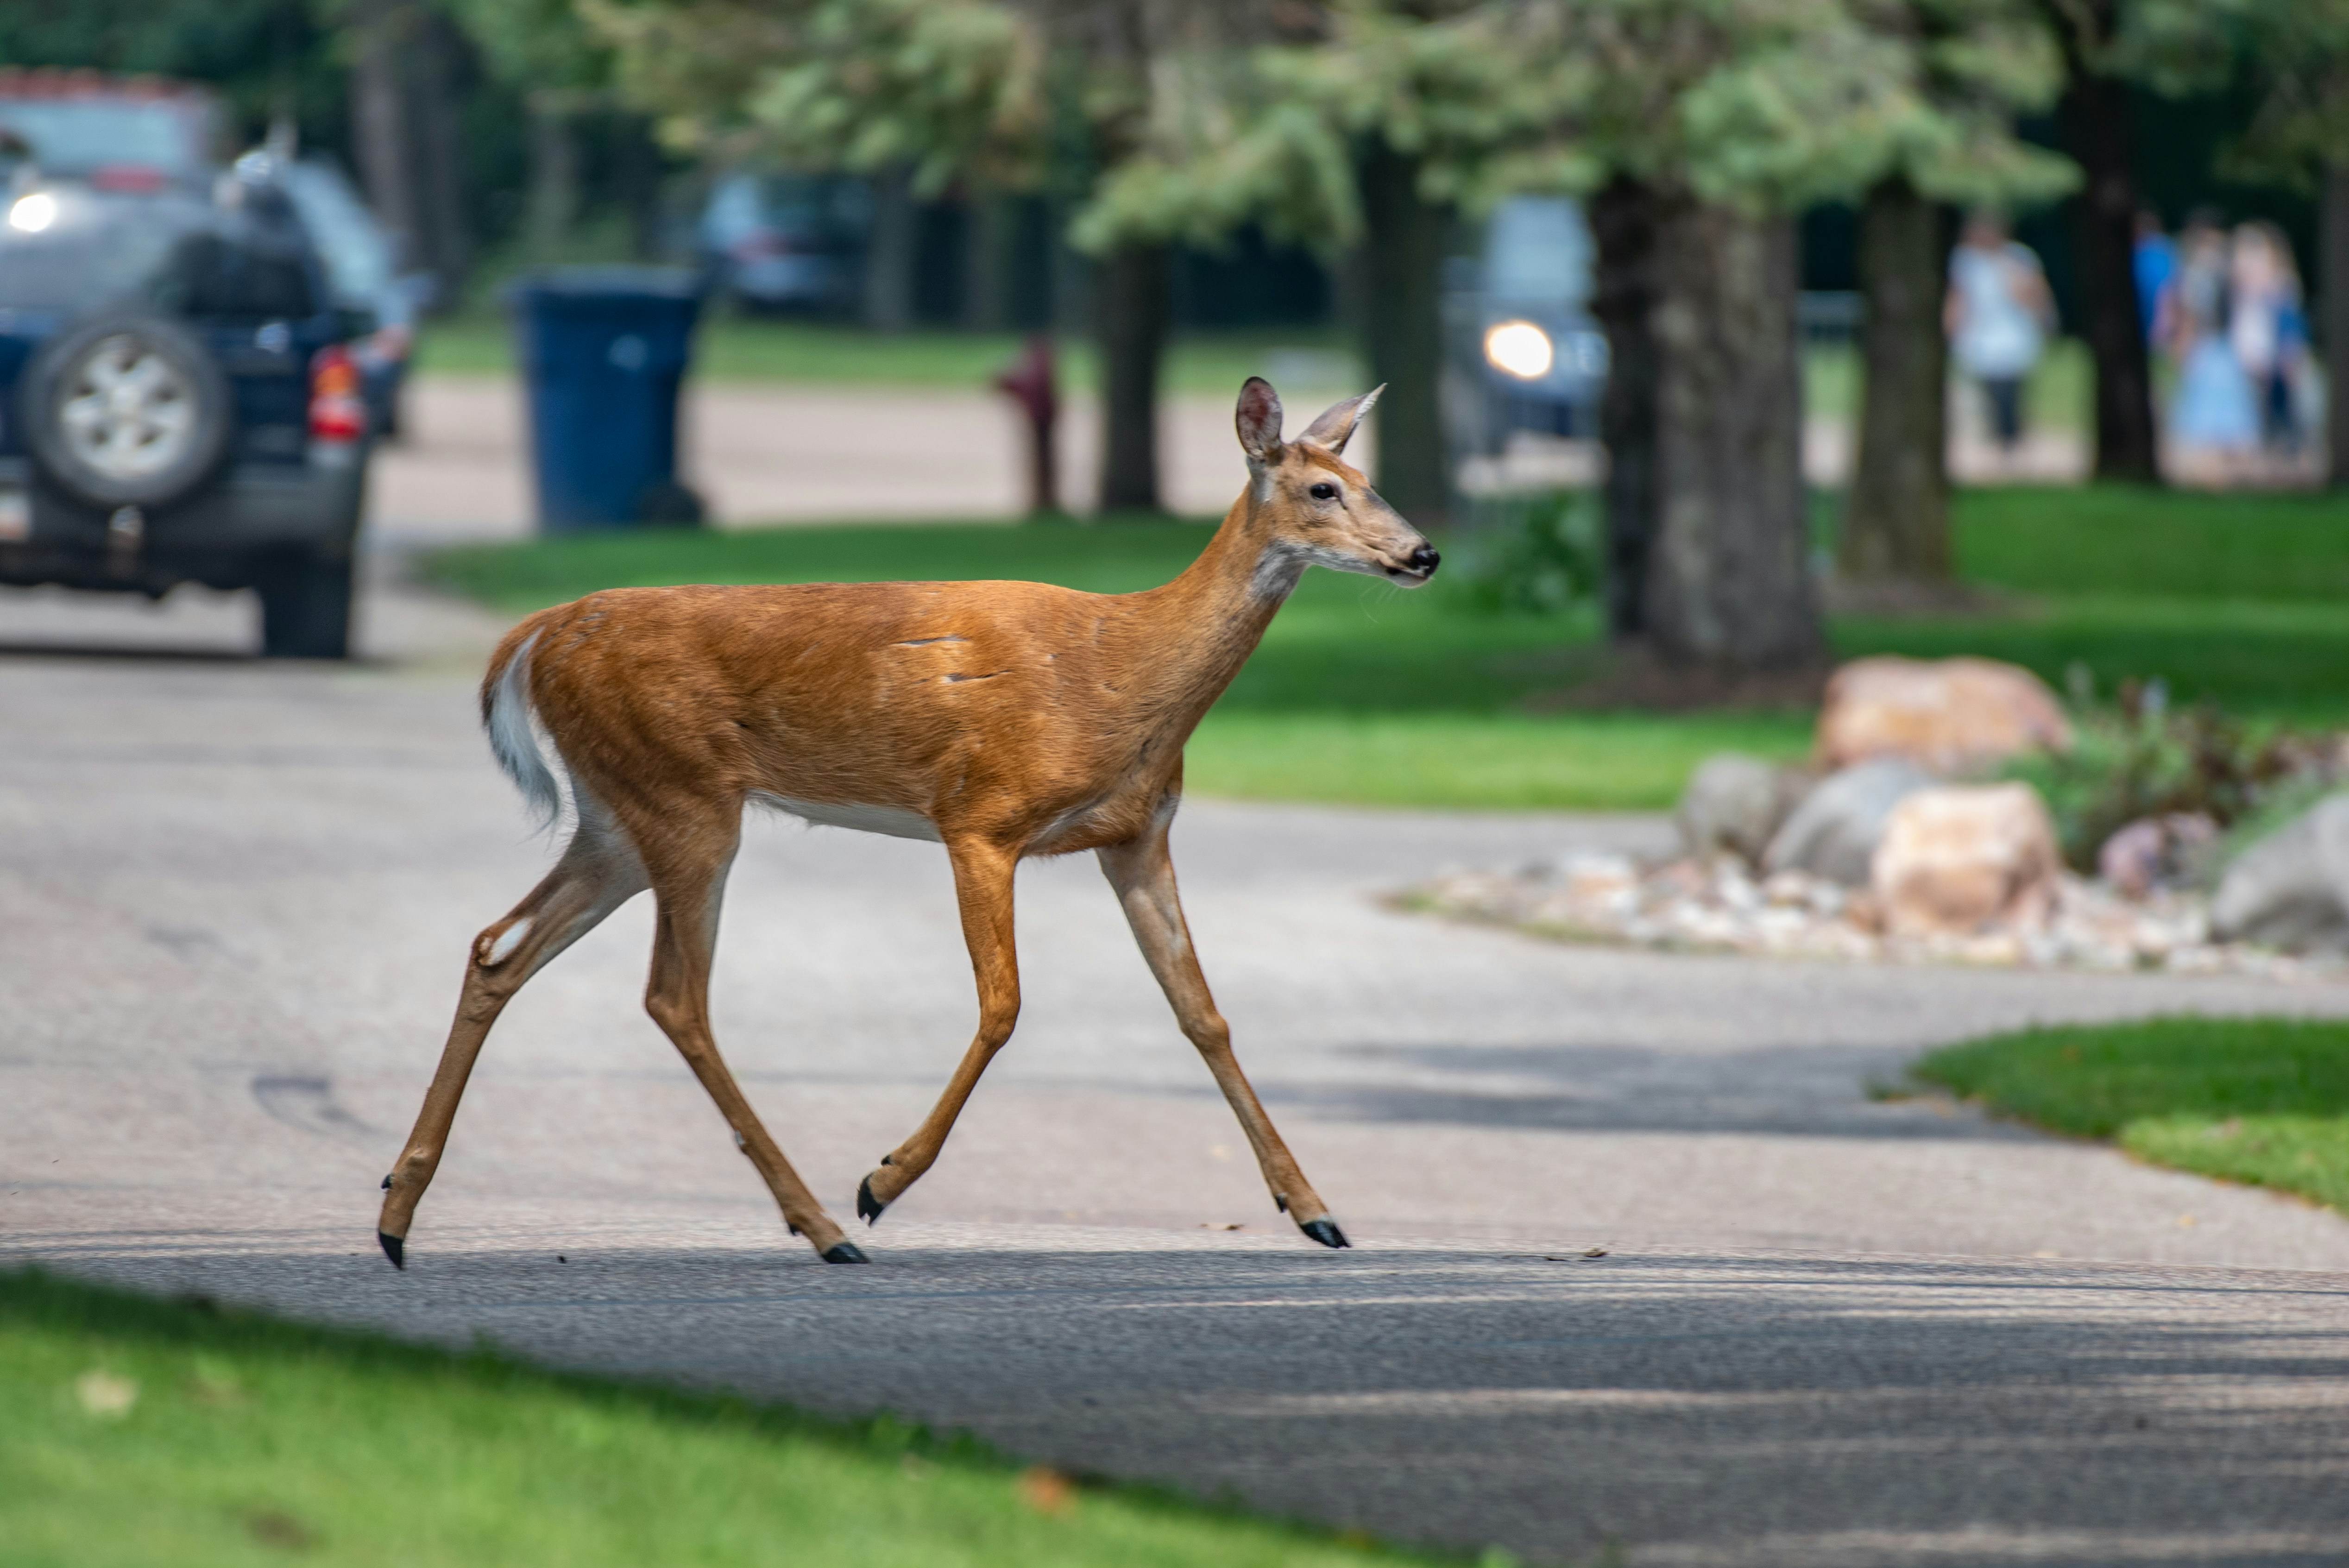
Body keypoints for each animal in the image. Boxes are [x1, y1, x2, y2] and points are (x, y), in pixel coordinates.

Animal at [375, 377, 1438, 1268]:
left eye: (1371, 480)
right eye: (1320, 489)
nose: (1423, 553)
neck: (1126, 673)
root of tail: (537, 634)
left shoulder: (1137, 837)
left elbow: (1203, 1014)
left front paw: (1315, 1211)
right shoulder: (981, 818)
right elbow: (1004, 1006)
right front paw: (883, 1181)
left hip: (616, 816)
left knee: (499, 948)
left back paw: (396, 1213)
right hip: (683, 802)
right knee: (674, 995)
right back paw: (827, 1224)